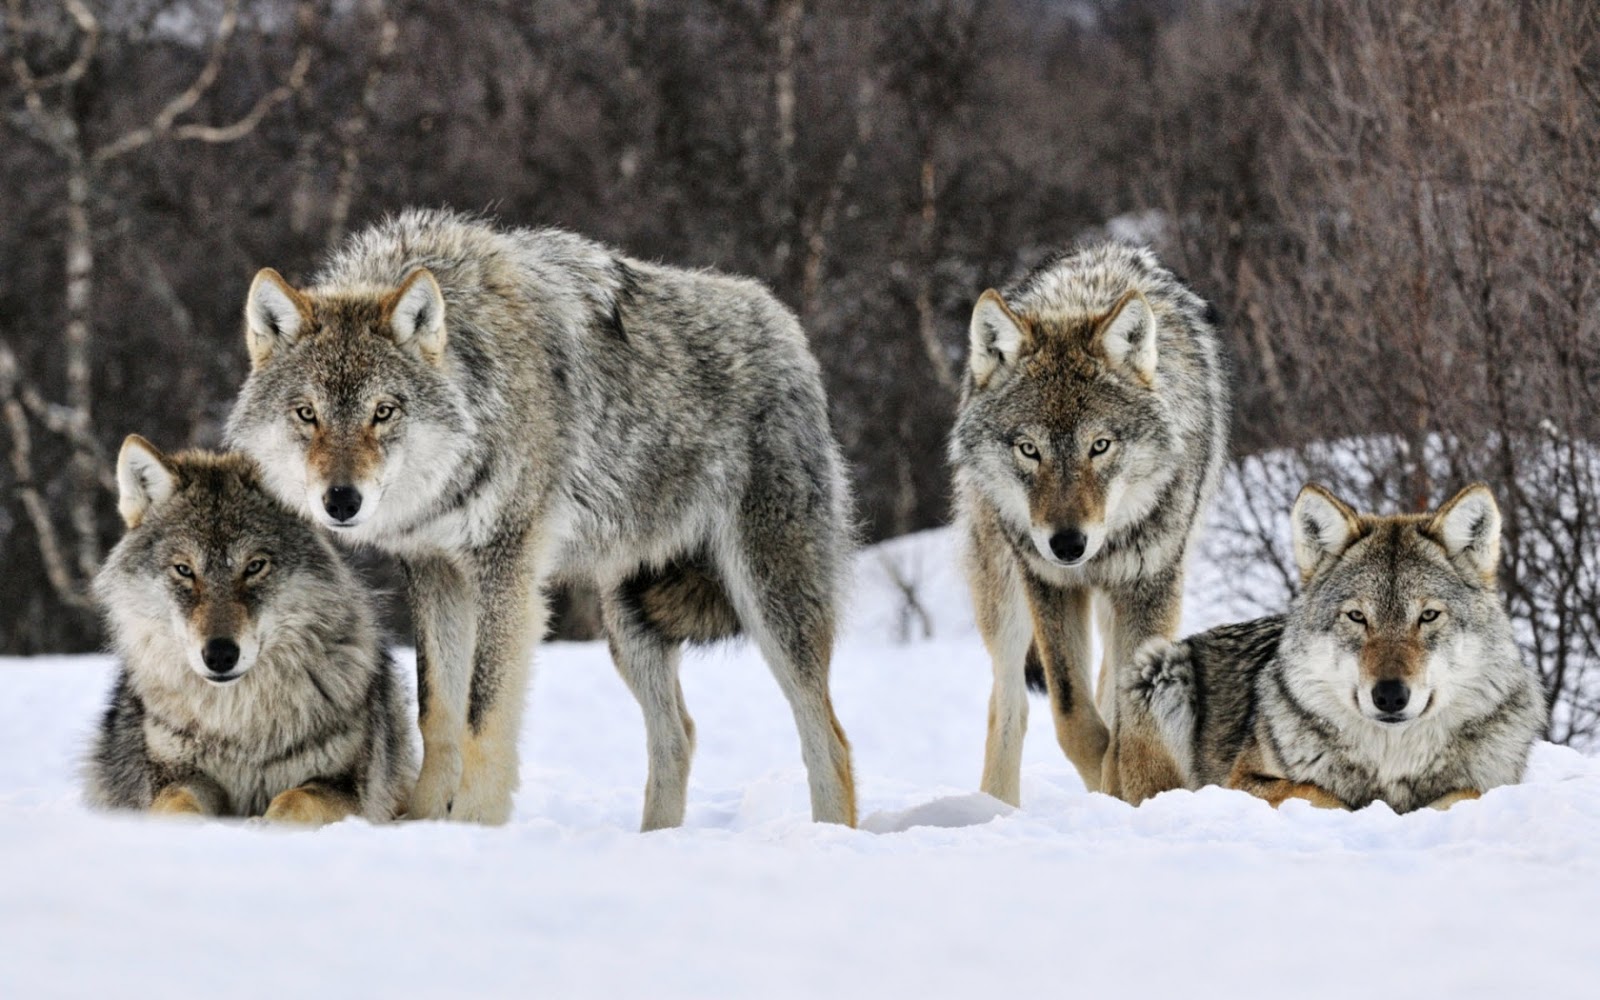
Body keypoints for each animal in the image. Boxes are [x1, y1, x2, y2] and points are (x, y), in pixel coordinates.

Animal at [86, 437, 416, 824]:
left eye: (255, 566)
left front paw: (264, 826)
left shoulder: (344, 787)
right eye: (184, 570)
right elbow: (177, 805)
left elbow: (294, 800)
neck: (239, 725)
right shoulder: (177, 776)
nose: (220, 655)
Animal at [226, 209, 856, 829]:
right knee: (679, 734)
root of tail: (785, 325)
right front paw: (425, 823)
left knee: (829, 738)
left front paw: (473, 826)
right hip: (629, 623)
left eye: (383, 412)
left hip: (770, 601)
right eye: (307, 413)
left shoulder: (506, 570)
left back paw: (829, 834)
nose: (341, 501)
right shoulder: (435, 571)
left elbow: (482, 716)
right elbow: (438, 713)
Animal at [950, 243, 1228, 806]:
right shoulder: (1049, 583)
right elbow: (1073, 716)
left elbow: (1127, 719)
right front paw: (1107, 782)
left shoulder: (1151, 584)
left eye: (1100, 446)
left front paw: (1130, 790)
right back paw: (996, 808)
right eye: (1028, 449)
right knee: (1008, 702)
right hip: (1003, 593)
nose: (1067, 544)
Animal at [1124, 483, 1547, 812]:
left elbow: (1466, 793)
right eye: (1357, 617)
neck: (1391, 762)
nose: (1389, 696)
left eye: (1428, 616)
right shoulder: (1242, 781)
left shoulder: (1492, 784)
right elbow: (1318, 793)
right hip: (1158, 667)